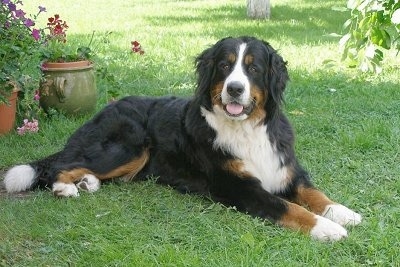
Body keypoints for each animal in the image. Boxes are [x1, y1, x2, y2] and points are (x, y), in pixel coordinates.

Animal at [3, 36, 360, 242]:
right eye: (224, 66)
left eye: (254, 68)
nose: (235, 89)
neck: (246, 128)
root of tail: (103, 110)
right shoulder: (240, 187)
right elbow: (290, 207)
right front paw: (327, 229)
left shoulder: (285, 168)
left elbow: (313, 194)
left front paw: (343, 212)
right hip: (130, 144)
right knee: (60, 165)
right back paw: (66, 187)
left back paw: (87, 182)